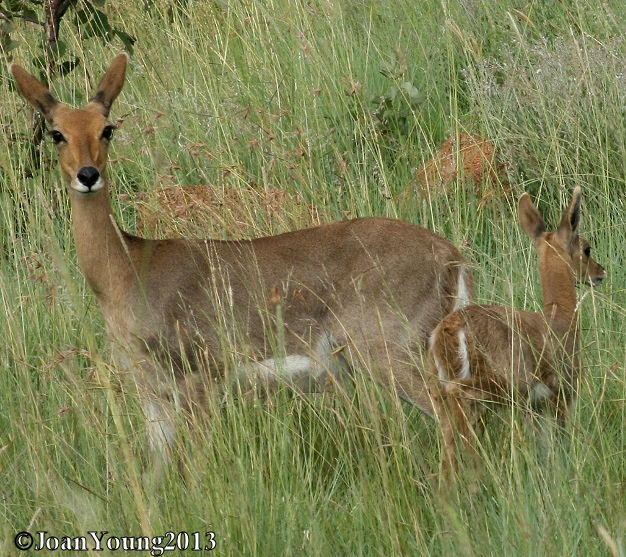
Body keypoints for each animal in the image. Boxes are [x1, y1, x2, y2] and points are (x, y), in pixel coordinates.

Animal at [9, 54, 470, 456]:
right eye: (56, 132)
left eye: (107, 128)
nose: (88, 175)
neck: (126, 271)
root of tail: (454, 257)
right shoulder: (151, 394)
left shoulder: (197, 379)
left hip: (387, 352)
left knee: (452, 415)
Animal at [426, 188, 604, 474]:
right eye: (586, 248)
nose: (600, 272)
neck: (560, 316)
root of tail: (447, 333)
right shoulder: (561, 393)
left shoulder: (537, 405)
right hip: (504, 382)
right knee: (462, 404)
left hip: (440, 387)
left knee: (447, 444)